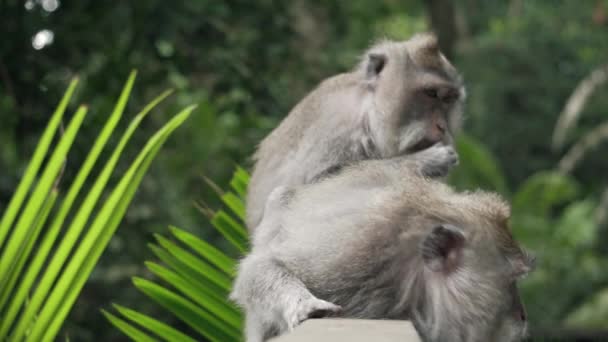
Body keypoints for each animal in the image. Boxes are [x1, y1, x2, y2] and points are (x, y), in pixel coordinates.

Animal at [247, 32, 466, 230]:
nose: (441, 126)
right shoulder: (337, 121)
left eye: (448, 99)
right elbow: (315, 186)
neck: (368, 111)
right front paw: (427, 160)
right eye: (431, 93)